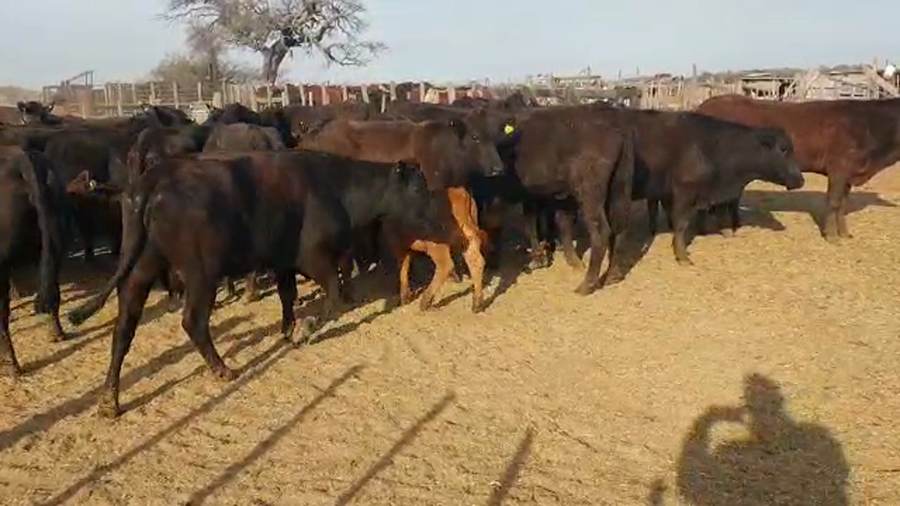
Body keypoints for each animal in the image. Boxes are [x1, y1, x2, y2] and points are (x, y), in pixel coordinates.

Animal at [66, 151, 439, 417]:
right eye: (416, 188)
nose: (437, 216)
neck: (336, 188)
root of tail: (154, 179)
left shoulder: (284, 261)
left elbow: (288, 295)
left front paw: (288, 330)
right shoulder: (314, 258)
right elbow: (332, 294)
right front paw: (306, 329)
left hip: (141, 269)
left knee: (124, 328)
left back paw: (109, 401)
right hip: (201, 275)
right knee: (193, 322)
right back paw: (223, 370)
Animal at [695, 94, 900, 242]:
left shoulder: (849, 173)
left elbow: (842, 204)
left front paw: (845, 234)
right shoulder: (839, 168)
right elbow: (834, 202)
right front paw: (832, 237)